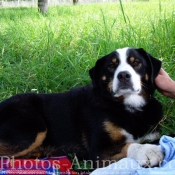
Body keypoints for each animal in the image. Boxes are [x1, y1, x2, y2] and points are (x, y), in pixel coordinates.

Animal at [0, 47, 164, 169]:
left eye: (136, 62)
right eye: (111, 66)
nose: (123, 75)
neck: (129, 109)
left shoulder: (152, 134)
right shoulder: (98, 151)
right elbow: (129, 145)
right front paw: (148, 151)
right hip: (33, 128)